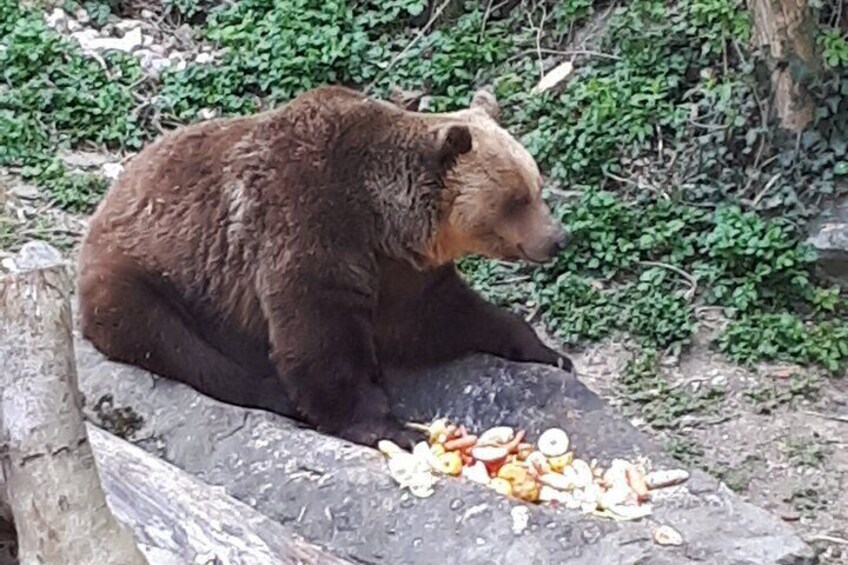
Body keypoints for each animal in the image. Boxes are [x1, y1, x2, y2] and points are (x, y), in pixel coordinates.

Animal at [78, 85, 568, 446]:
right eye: (516, 199)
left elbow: (437, 317)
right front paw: (389, 426)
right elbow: (320, 336)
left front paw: (547, 351)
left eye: (537, 185)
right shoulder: (310, 223)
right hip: (146, 273)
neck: (381, 218)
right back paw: (270, 392)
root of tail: (109, 198)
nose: (558, 239)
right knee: (175, 342)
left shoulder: (401, 272)